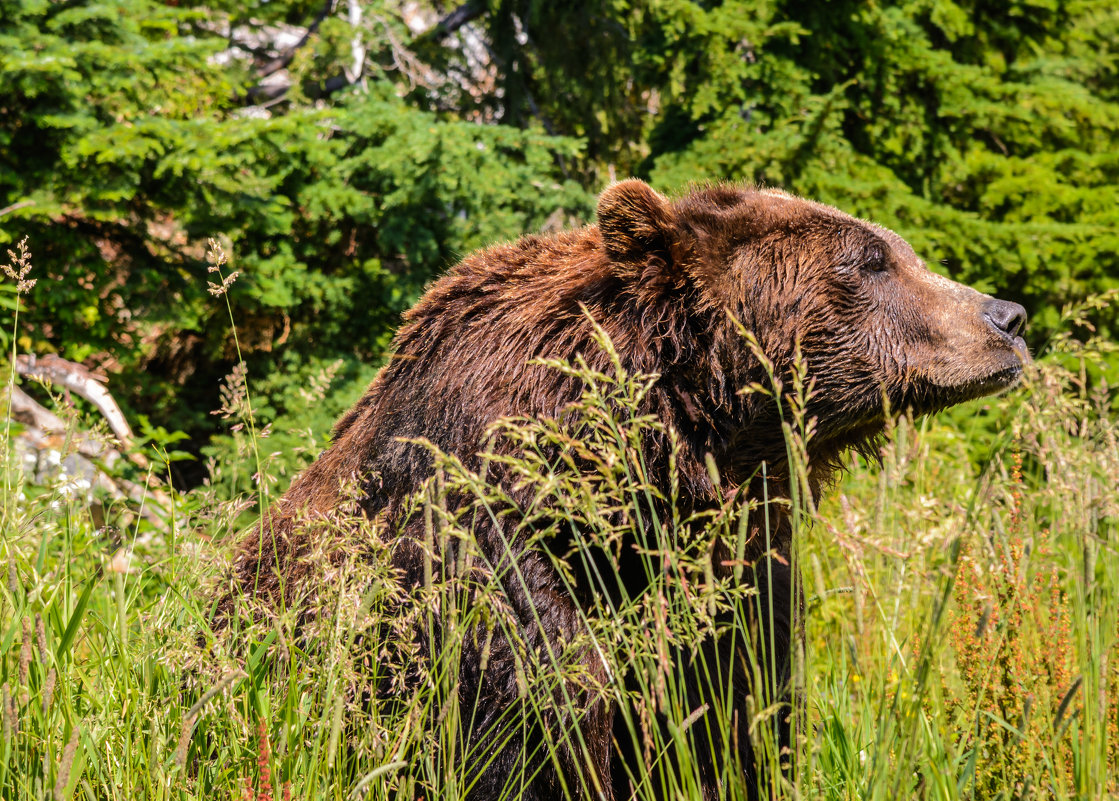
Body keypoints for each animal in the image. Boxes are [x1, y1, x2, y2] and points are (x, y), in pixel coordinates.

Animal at [222, 181, 1025, 801]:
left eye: (902, 251)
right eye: (870, 260)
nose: (1008, 318)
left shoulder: (733, 564)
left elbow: (738, 706)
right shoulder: (484, 542)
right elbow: (544, 706)